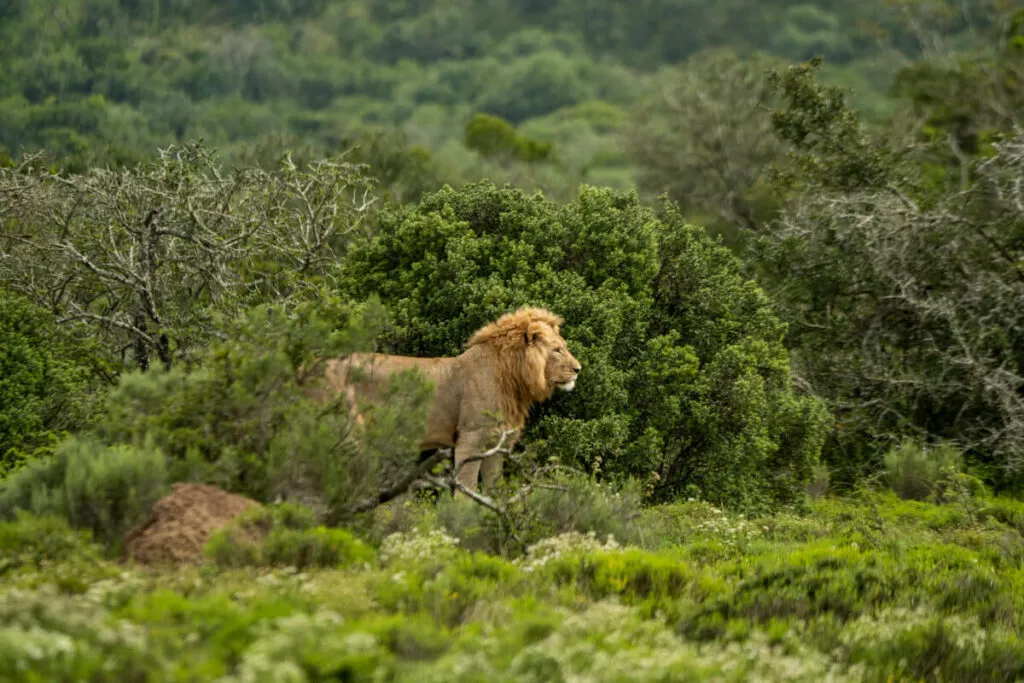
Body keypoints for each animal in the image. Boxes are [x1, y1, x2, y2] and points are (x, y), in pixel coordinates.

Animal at [311, 307, 581, 492]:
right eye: (557, 350)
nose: (579, 369)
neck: (512, 378)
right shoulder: (470, 439)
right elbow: (467, 491)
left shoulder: (496, 444)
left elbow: (494, 491)